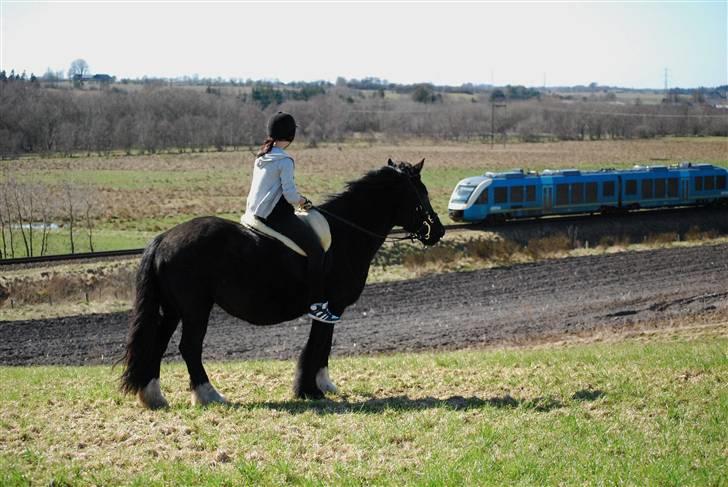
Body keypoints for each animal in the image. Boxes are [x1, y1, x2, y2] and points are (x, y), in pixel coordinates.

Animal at [119, 159, 444, 408]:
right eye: (421, 193)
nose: (438, 231)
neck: (346, 233)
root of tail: (164, 239)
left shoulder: (332, 308)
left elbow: (324, 344)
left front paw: (322, 385)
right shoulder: (330, 305)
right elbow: (317, 344)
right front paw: (308, 390)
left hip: (172, 309)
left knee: (158, 344)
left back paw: (153, 397)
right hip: (195, 309)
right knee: (189, 347)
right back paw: (209, 395)